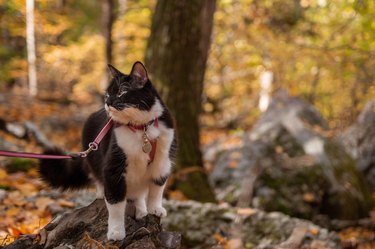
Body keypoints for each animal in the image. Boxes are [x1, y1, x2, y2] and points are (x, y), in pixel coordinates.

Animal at [39, 61, 178, 240]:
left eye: (121, 92)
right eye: (107, 95)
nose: (108, 102)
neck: (142, 128)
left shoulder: (162, 162)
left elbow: (157, 189)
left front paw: (155, 208)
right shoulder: (113, 167)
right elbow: (115, 203)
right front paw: (116, 232)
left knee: (138, 193)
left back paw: (141, 209)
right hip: (94, 160)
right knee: (100, 179)